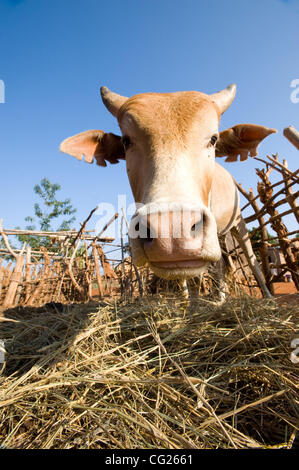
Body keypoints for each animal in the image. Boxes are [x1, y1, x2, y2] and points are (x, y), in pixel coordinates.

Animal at [59, 85, 278, 302]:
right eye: (126, 141)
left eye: (213, 139)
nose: (172, 232)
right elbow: (190, 277)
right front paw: (190, 302)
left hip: (237, 222)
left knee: (249, 258)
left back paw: (264, 295)